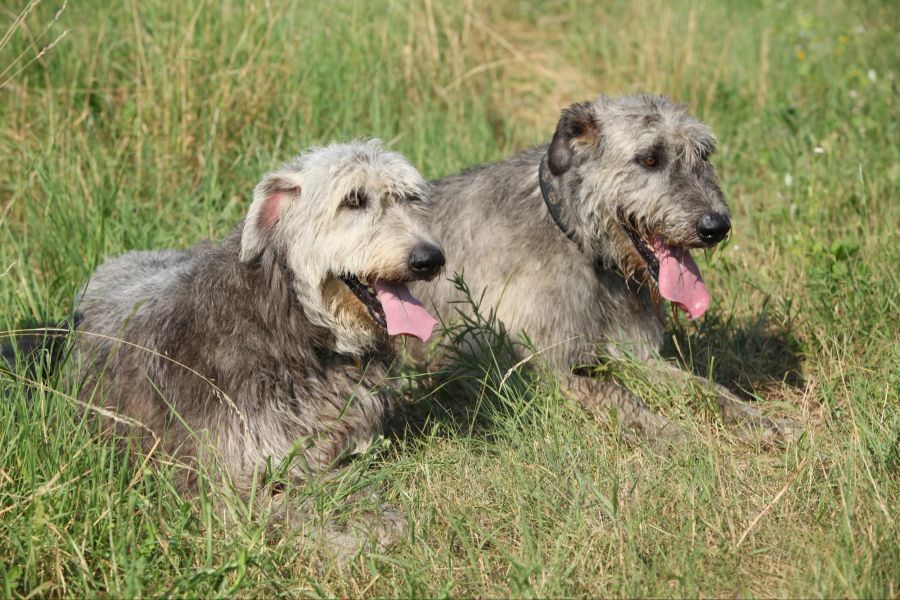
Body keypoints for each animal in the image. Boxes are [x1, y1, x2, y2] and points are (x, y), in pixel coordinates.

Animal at [414, 95, 800, 446]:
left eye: (703, 155)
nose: (716, 226)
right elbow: (615, 392)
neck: (578, 241)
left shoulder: (636, 354)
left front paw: (760, 419)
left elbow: (702, 384)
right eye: (649, 158)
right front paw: (667, 430)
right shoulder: (545, 369)